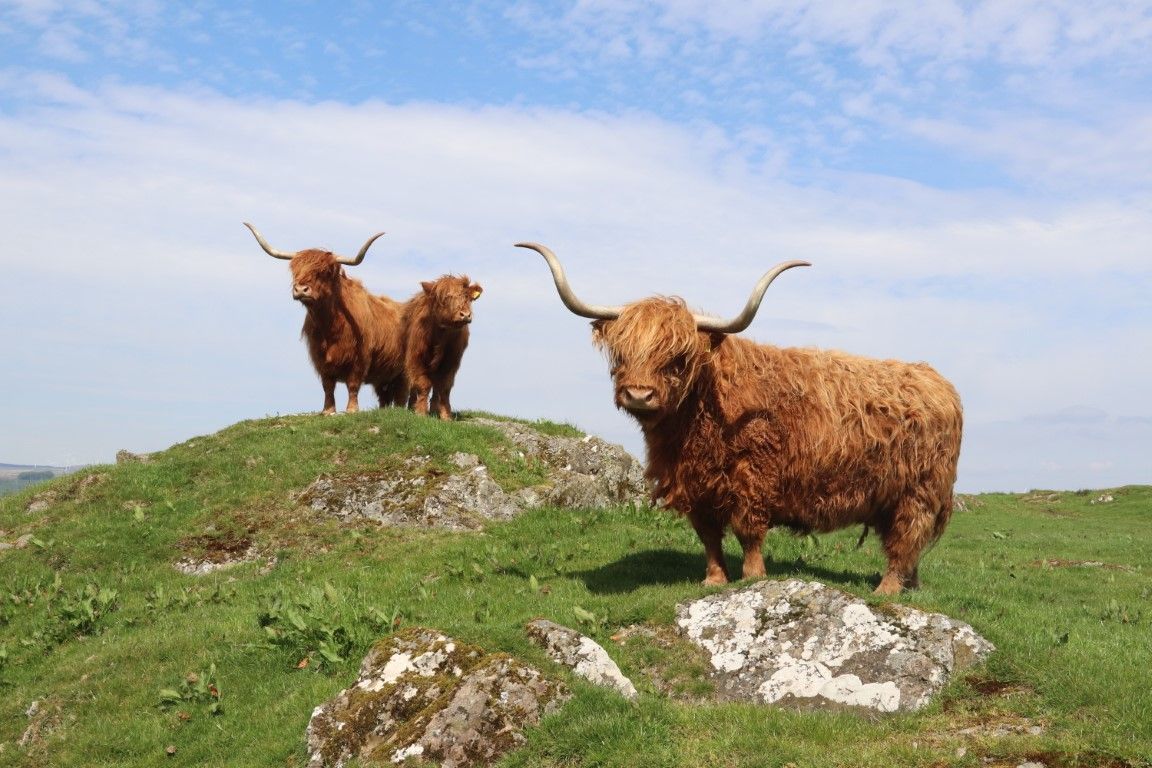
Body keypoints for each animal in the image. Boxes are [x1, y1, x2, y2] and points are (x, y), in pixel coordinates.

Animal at [244, 222, 408, 415]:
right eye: (295, 270)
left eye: (325, 272)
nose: (301, 289)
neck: (330, 326)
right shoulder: (320, 360)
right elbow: (327, 386)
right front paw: (328, 410)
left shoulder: (360, 359)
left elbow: (353, 384)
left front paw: (352, 410)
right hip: (385, 376)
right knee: (384, 395)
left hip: (404, 373)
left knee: (401, 395)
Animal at [402, 275, 483, 420]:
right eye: (446, 297)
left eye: (467, 297)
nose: (465, 315)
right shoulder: (416, 359)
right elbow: (422, 384)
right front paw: (420, 412)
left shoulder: (451, 362)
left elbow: (444, 387)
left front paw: (446, 415)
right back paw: (412, 406)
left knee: (436, 388)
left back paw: (434, 410)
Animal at [517, 242, 962, 595]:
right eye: (622, 353)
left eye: (678, 358)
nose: (639, 394)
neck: (694, 424)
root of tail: (937, 381)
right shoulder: (695, 486)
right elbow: (709, 537)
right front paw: (714, 579)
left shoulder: (753, 477)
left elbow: (749, 530)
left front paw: (753, 576)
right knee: (907, 545)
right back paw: (911, 585)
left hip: (918, 491)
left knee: (905, 538)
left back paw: (887, 590)